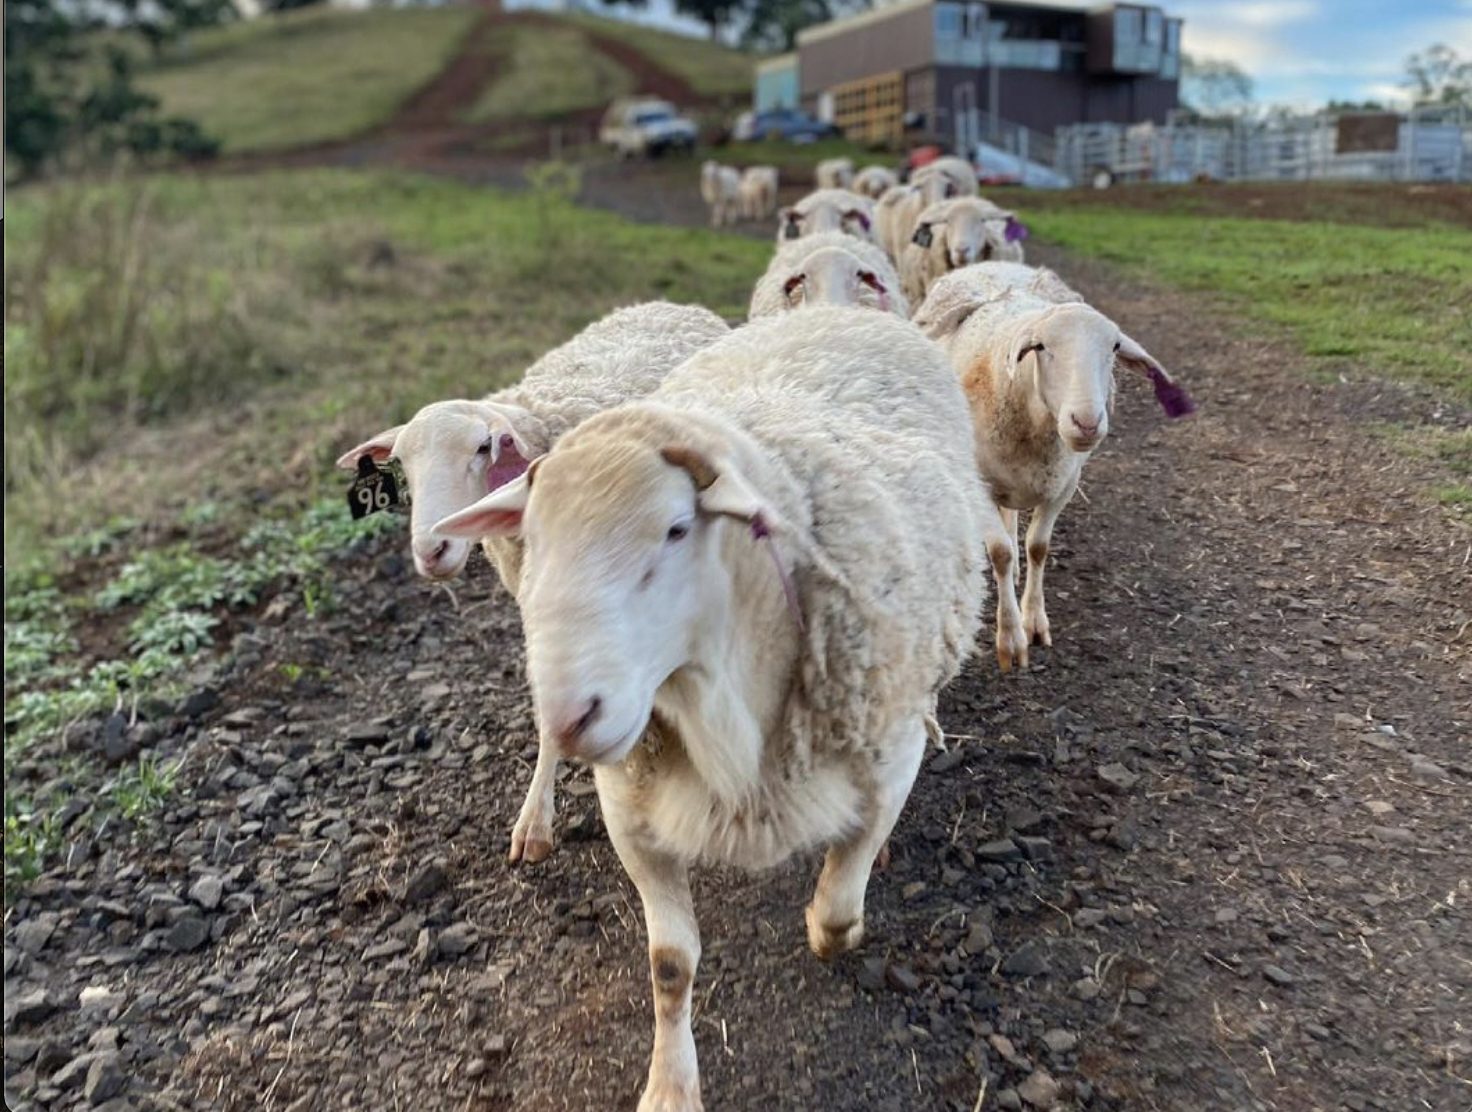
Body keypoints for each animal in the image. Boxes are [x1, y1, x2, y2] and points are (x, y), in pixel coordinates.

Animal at [430, 306, 990, 1112]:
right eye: (530, 540)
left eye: (674, 529)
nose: (568, 717)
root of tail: (833, 308)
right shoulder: (631, 809)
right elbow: (670, 963)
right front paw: (670, 1085)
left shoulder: (892, 753)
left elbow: (838, 910)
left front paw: (834, 921)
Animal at [913, 262, 1195, 671]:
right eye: (1041, 347)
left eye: (1114, 347)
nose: (1086, 423)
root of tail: (994, 265)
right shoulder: (979, 485)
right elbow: (999, 552)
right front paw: (1010, 638)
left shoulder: (1064, 483)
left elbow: (1038, 547)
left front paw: (1033, 621)